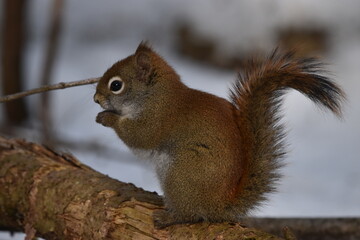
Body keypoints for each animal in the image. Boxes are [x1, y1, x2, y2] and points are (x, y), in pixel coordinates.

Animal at [94, 42, 344, 228]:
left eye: (116, 85)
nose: (96, 99)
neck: (155, 95)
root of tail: (219, 205)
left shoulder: (158, 118)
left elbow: (139, 136)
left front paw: (107, 119)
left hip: (181, 173)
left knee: (191, 214)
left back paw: (169, 217)